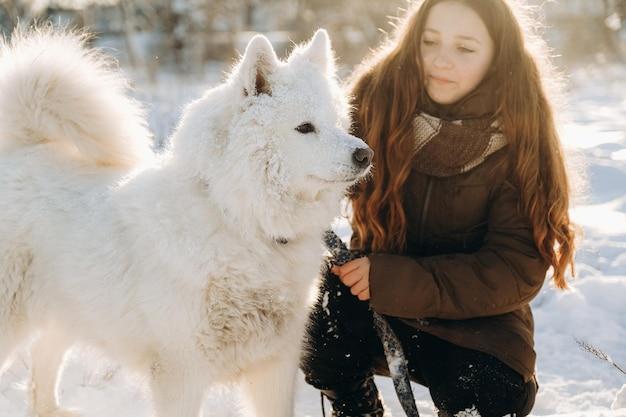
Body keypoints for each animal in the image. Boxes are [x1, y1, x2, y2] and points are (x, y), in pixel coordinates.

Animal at [0, 26, 370, 416]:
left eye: (339, 125)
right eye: (305, 128)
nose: (365, 154)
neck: (240, 222)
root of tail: (21, 150)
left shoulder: (274, 368)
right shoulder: (181, 374)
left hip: (68, 314)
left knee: (41, 368)